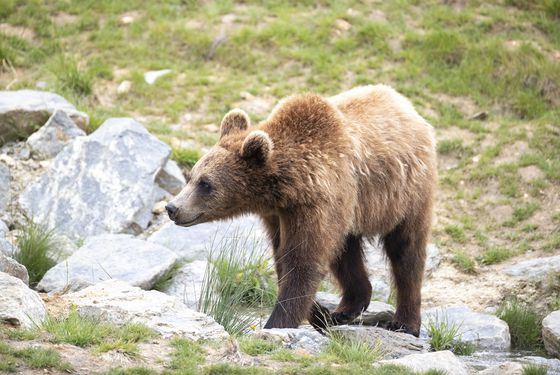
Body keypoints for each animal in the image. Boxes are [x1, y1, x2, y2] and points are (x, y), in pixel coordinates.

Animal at [166, 85, 438, 338]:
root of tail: (407, 107)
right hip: (353, 211)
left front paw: (276, 324)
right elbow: (284, 259)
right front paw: (319, 314)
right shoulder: (278, 215)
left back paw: (404, 323)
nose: (172, 207)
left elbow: (303, 262)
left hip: (405, 194)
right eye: (192, 176)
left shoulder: (317, 204)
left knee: (406, 253)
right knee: (345, 251)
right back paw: (345, 309)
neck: (289, 188)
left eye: (206, 183)